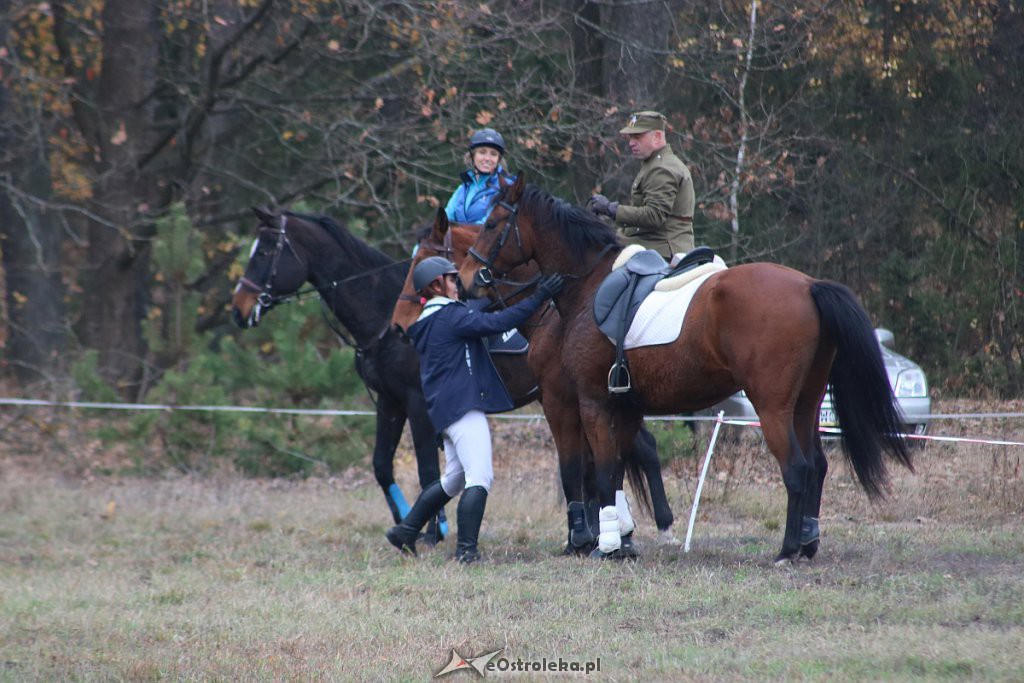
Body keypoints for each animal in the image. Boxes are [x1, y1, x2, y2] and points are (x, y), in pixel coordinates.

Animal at [228, 205, 540, 536]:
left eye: (263, 252)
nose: (238, 309)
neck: (386, 321)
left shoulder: (418, 403)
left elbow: (427, 470)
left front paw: (433, 532)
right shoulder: (390, 401)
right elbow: (381, 466)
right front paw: (405, 520)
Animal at [395, 209, 675, 557]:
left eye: (423, 258)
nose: (400, 324)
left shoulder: (566, 400)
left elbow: (581, 468)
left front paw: (584, 537)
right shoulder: (576, 401)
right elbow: (589, 469)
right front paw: (592, 536)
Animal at [458, 175, 913, 561]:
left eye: (493, 222)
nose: (466, 279)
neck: (588, 285)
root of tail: (808, 285)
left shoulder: (581, 402)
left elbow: (593, 472)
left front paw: (598, 544)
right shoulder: (624, 407)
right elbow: (617, 471)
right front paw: (621, 540)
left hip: (772, 407)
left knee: (798, 469)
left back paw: (787, 550)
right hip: (805, 405)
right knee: (817, 465)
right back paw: (808, 543)